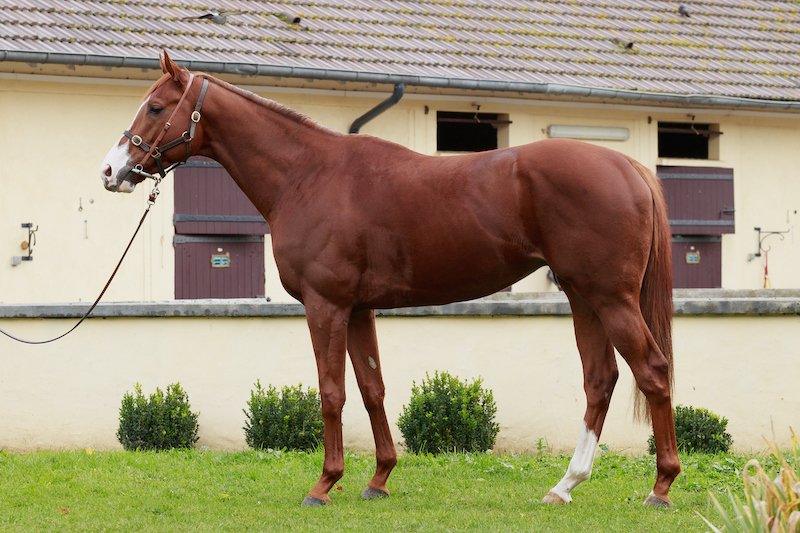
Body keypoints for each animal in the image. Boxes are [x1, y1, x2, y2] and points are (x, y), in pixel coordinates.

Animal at [100, 51, 680, 508]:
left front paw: (323, 485)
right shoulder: (359, 309)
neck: (307, 175)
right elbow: (372, 387)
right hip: (583, 297)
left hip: (611, 298)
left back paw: (660, 487)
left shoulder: (326, 306)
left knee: (652, 371)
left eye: (156, 107)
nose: (111, 171)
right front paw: (378, 479)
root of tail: (631, 167)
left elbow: (332, 392)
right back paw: (565, 486)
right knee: (600, 379)